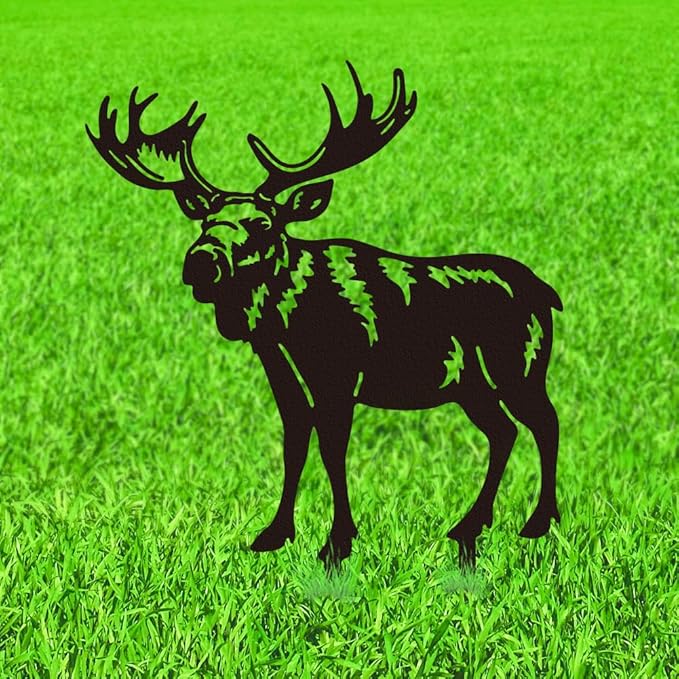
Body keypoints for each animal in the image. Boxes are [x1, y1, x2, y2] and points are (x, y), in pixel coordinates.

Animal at [87, 62, 562, 570]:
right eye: (204, 221)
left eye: (264, 223)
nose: (200, 261)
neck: (286, 325)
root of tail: (548, 293)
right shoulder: (283, 372)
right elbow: (295, 440)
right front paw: (274, 533)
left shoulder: (340, 375)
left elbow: (333, 448)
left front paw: (337, 543)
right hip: (471, 385)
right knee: (504, 431)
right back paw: (470, 527)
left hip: (519, 366)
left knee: (546, 422)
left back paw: (538, 522)